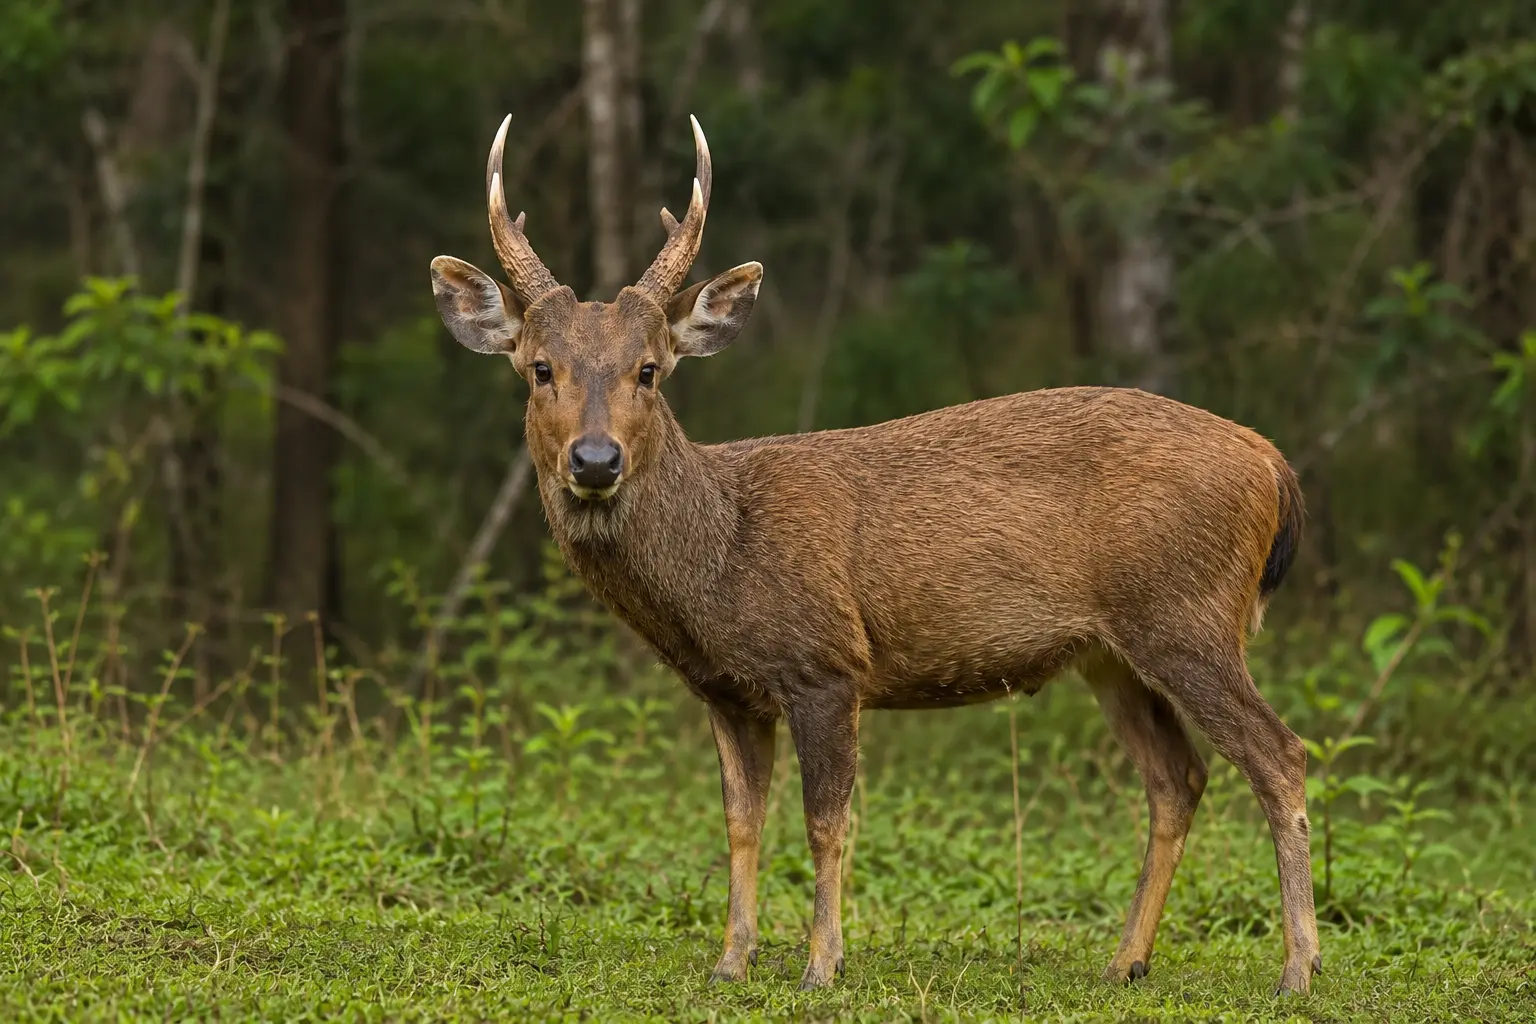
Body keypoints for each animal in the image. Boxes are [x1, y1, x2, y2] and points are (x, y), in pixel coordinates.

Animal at [428, 113, 1322, 996]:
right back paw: (1126, 960)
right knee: (1177, 777)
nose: (594, 460)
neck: (720, 564)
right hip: (1111, 651)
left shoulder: (825, 661)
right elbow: (740, 823)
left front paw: (822, 964)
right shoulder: (727, 691)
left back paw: (1297, 969)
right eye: (540, 368)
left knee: (1279, 755)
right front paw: (731, 960)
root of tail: (1273, 465)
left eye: (649, 371)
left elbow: (826, 823)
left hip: (1187, 614)